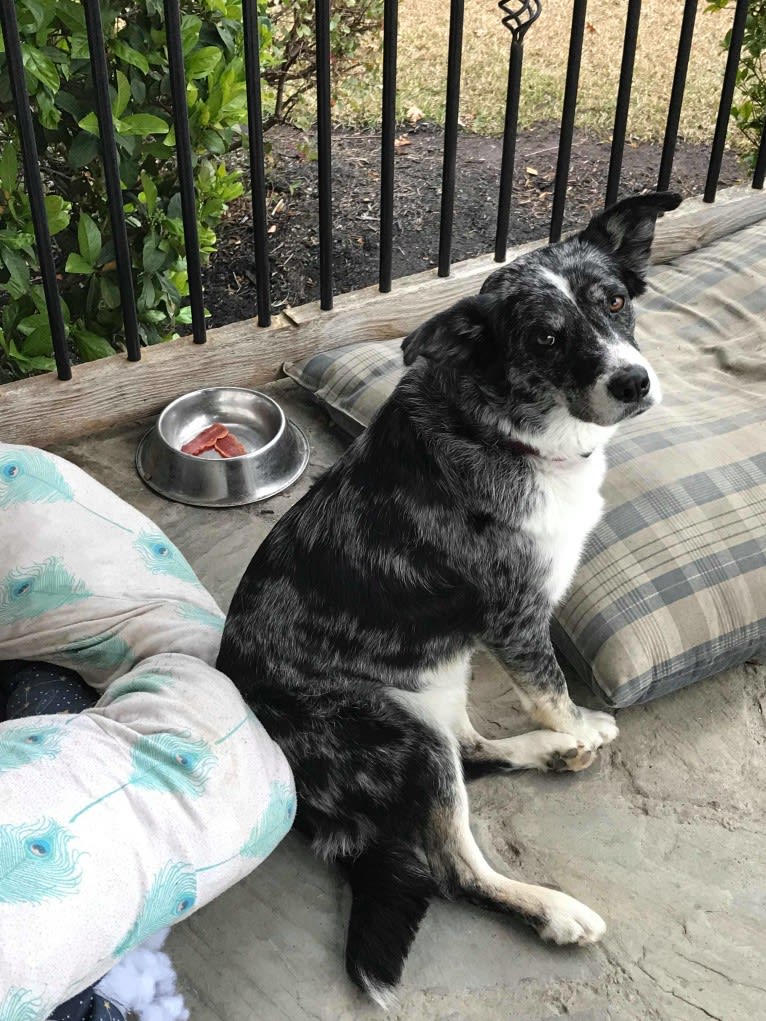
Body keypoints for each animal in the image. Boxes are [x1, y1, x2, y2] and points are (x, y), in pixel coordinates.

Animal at [217, 191, 682, 1004]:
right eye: (544, 337)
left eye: (615, 301)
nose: (633, 382)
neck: (505, 429)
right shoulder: (516, 617)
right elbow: (551, 690)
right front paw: (574, 724)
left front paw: (567, 735)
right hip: (400, 734)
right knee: (454, 865)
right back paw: (554, 906)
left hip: (441, 685)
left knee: (475, 750)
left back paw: (550, 753)